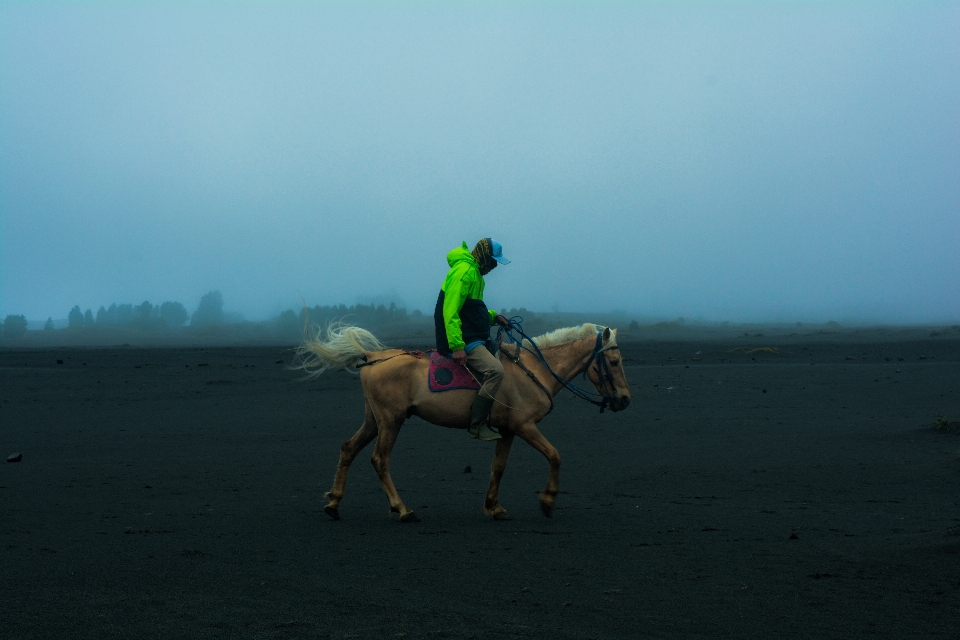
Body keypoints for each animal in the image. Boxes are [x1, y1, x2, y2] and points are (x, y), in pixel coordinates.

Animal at [296, 322, 632, 524]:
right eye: (614, 362)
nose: (625, 400)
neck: (533, 370)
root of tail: (371, 356)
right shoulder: (524, 426)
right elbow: (554, 456)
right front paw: (548, 501)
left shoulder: (507, 431)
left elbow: (498, 467)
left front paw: (493, 506)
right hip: (391, 421)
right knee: (379, 459)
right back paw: (402, 509)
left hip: (374, 420)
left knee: (348, 449)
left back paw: (334, 504)